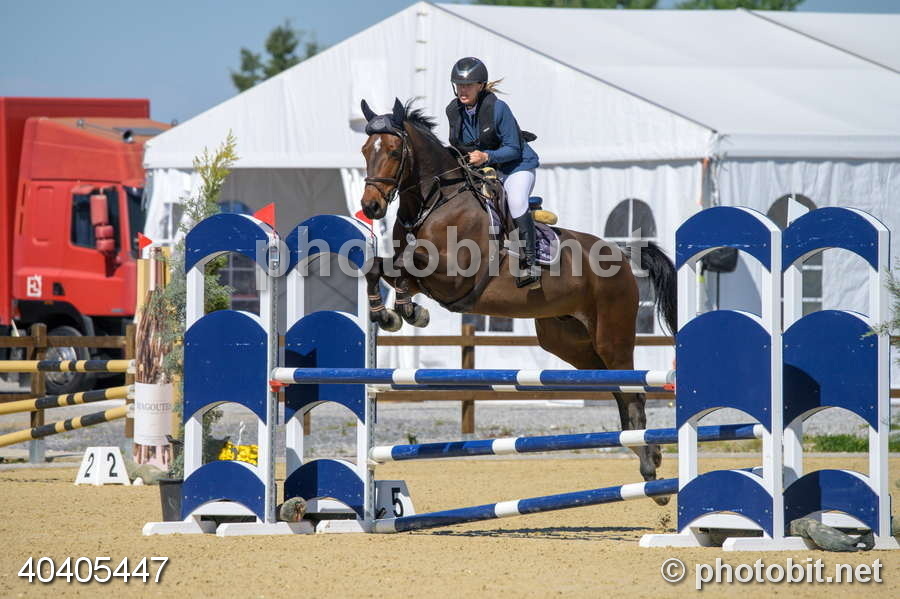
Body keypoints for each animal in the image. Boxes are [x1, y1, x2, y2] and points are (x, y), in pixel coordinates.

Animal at [358, 99, 677, 501]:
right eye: (365, 150)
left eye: (394, 151)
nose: (370, 207)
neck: (435, 201)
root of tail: (621, 255)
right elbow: (378, 267)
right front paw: (386, 314)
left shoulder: (454, 276)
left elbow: (406, 267)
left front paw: (408, 311)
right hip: (568, 341)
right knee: (618, 389)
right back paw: (646, 456)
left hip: (612, 335)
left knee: (633, 391)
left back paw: (651, 468)